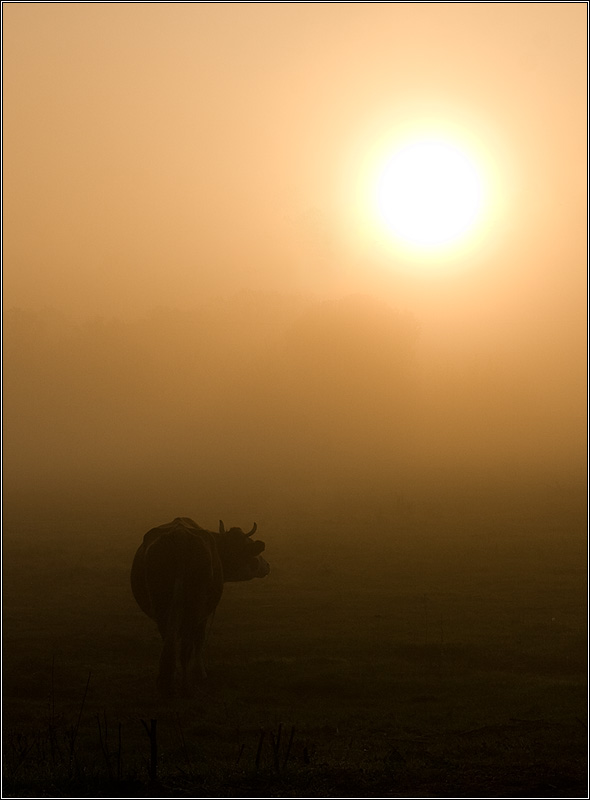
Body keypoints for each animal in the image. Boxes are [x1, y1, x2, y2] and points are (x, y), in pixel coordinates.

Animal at [131, 520, 270, 692]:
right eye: (250, 548)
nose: (267, 566)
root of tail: (181, 536)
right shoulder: (203, 616)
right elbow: (199, 640)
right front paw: (200, 672)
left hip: (162, 607)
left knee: (170, 641)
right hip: (195, 607)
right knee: (187, 646)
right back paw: (185, 685)